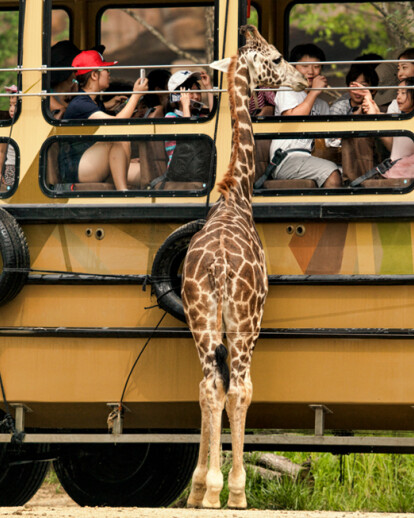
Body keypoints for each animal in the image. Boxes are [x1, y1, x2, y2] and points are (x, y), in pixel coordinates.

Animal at [181, 25, 308, 512]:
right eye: (275, 57)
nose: (303, 79)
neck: (237, 194)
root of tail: (218, 268)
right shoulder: (252, 322)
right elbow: (242, 390)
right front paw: (228, 487)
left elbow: (210, 388)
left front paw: (199, 486)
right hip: (242, 322)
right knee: (237, 388)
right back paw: (231, 491)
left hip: (200, 319)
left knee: (206, 387)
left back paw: (202, 490)